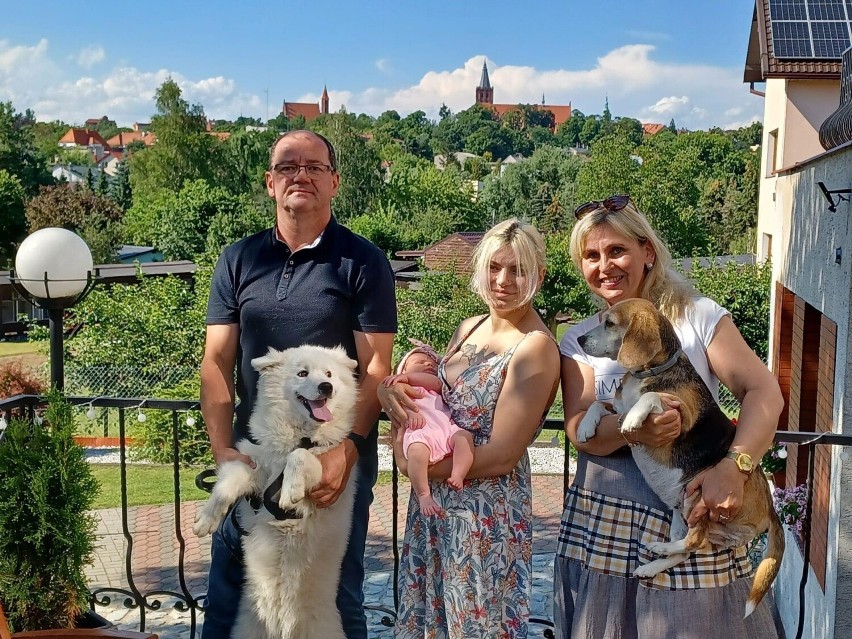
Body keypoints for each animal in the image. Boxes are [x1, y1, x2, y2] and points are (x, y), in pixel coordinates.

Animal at [194, 344, 360, 639]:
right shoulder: (256, 469)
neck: (302, 435)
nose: (326, 387)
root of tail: (283, 629)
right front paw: (207, 518)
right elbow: (228, 482)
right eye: (302, 373)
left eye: (329, 374)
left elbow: (300, 457)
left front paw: (290, 489)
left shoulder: (325, 473)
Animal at [576, 300, 784, 620]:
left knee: (693, 541)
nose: (579, 340)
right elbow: (599, 403)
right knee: (685, 549)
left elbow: (651, 398)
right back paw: (654, 562)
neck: (647, 373)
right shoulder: (616, 406)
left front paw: (635, 418)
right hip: (679, 510)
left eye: (609, 323)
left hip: (697, 495)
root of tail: (771, 507)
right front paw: (586, 426)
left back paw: (658, 549)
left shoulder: (679, 414)